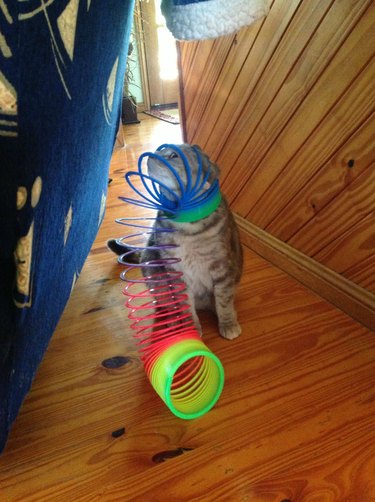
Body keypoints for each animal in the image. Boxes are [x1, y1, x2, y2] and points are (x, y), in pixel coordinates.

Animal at [108, 145, 244, 342]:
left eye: (173, 155)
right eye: (160, 149)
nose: (152, 154)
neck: (186, 227)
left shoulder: (223, 269)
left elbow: (224, 301)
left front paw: (228, 323)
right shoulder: (176, 272)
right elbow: (185, 305)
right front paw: (191, 329)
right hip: (154, 271)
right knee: (168, 304)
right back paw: (173, 323)